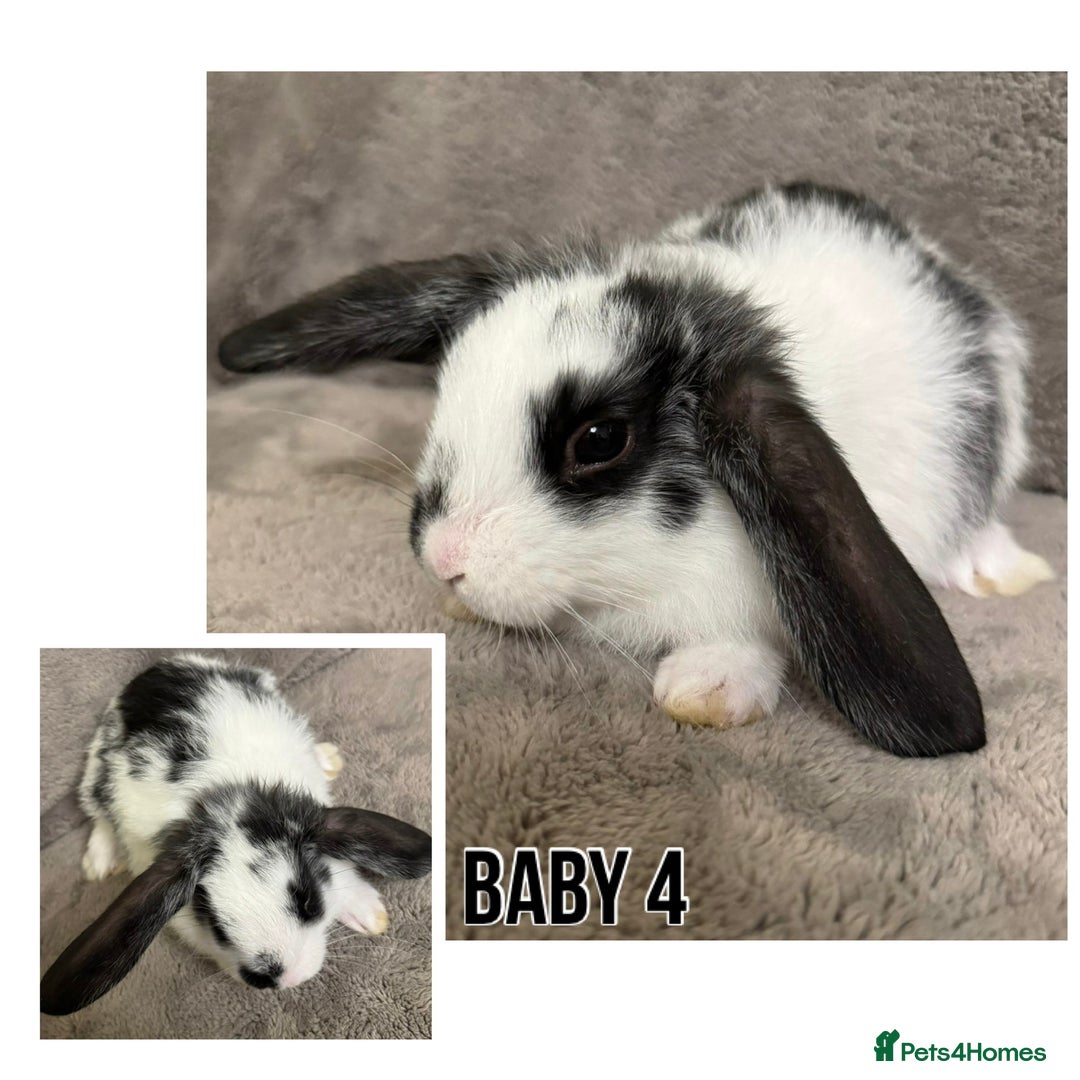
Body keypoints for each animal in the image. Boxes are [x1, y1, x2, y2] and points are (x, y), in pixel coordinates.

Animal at [40, 654, 431, 1016]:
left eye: (308, 901)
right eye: (215, 923)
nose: (289, 978)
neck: (224, 798)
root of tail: (156, 670)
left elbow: (339, 868)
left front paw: (369, 913)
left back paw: (328, 757)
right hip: (96, 769)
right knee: (99, 815)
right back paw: (99, 862)